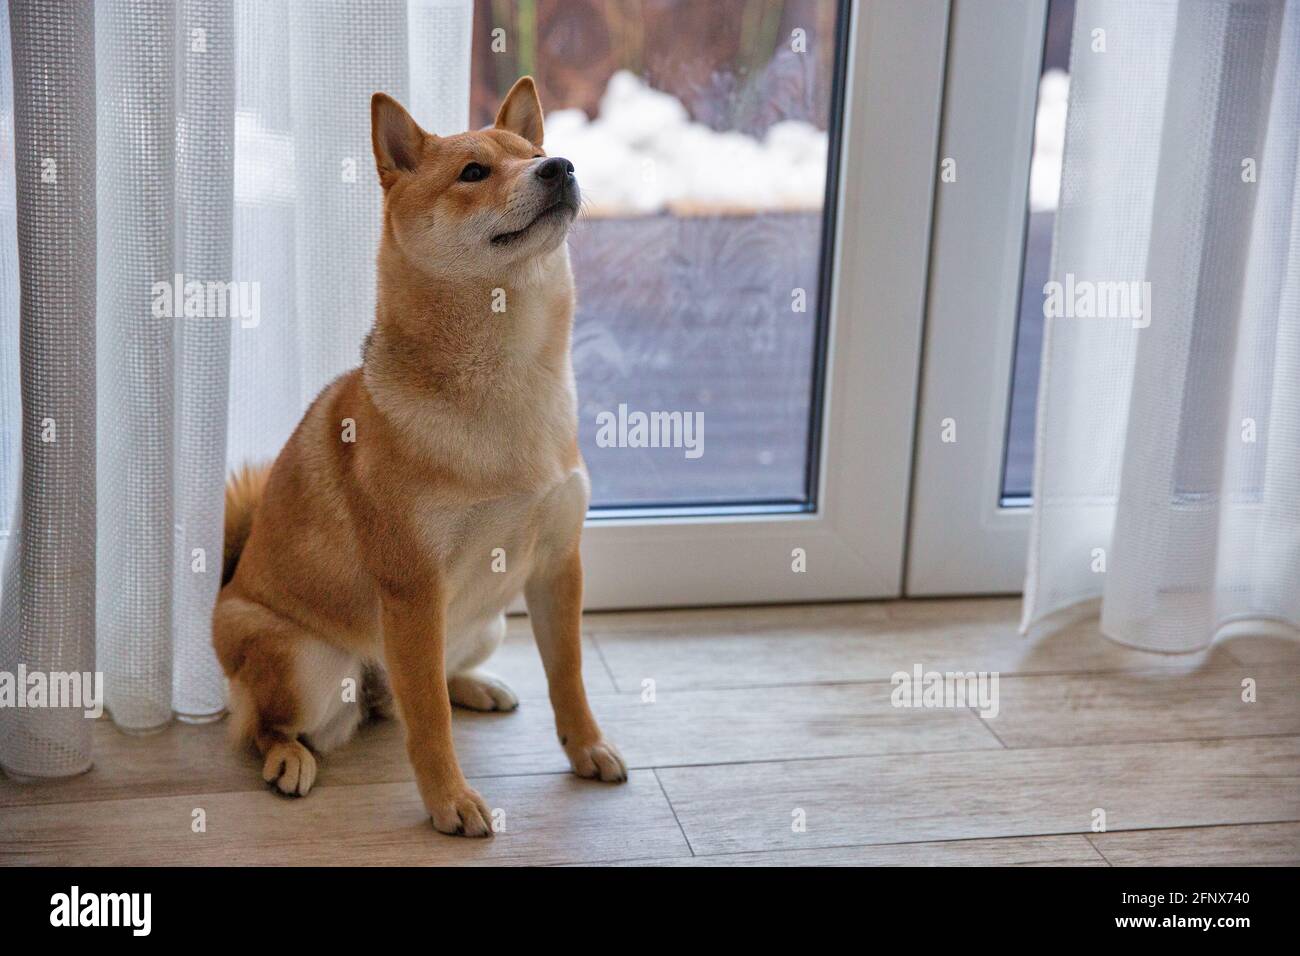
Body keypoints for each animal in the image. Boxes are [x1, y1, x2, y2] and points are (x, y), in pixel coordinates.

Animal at [211, 78, 624, 837]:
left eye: (535, 154)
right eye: (474, 172)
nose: (562, 167)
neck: (507, 383)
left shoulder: (557, 563)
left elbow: (569, 676)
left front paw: (587, 746)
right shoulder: (413, 591)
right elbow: (428, 722)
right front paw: (450, 802)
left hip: (486, 622)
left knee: (413, 692)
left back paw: (476, 686)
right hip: (308, 665)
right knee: (266, 725)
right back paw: (287, 757)